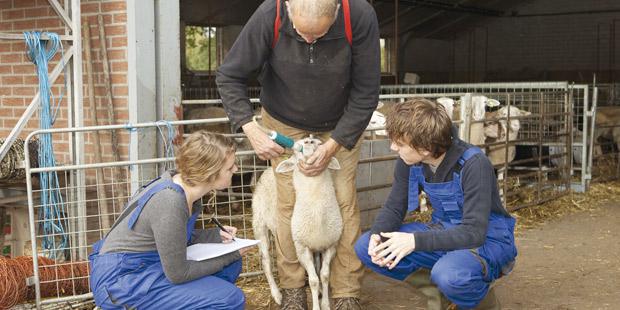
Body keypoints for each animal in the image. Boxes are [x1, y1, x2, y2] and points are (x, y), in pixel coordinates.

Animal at [252, 136, 344, 310]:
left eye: (319, 143)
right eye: (298, 146)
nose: (309, 141)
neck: (317, 212)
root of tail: (267, 170)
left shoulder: (331, 245)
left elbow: (324, 275)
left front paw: (325, 303)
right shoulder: (302, 248)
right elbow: (313, 280)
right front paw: (316, 306)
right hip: (259, 222)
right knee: (266, 261)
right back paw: (277, 294)